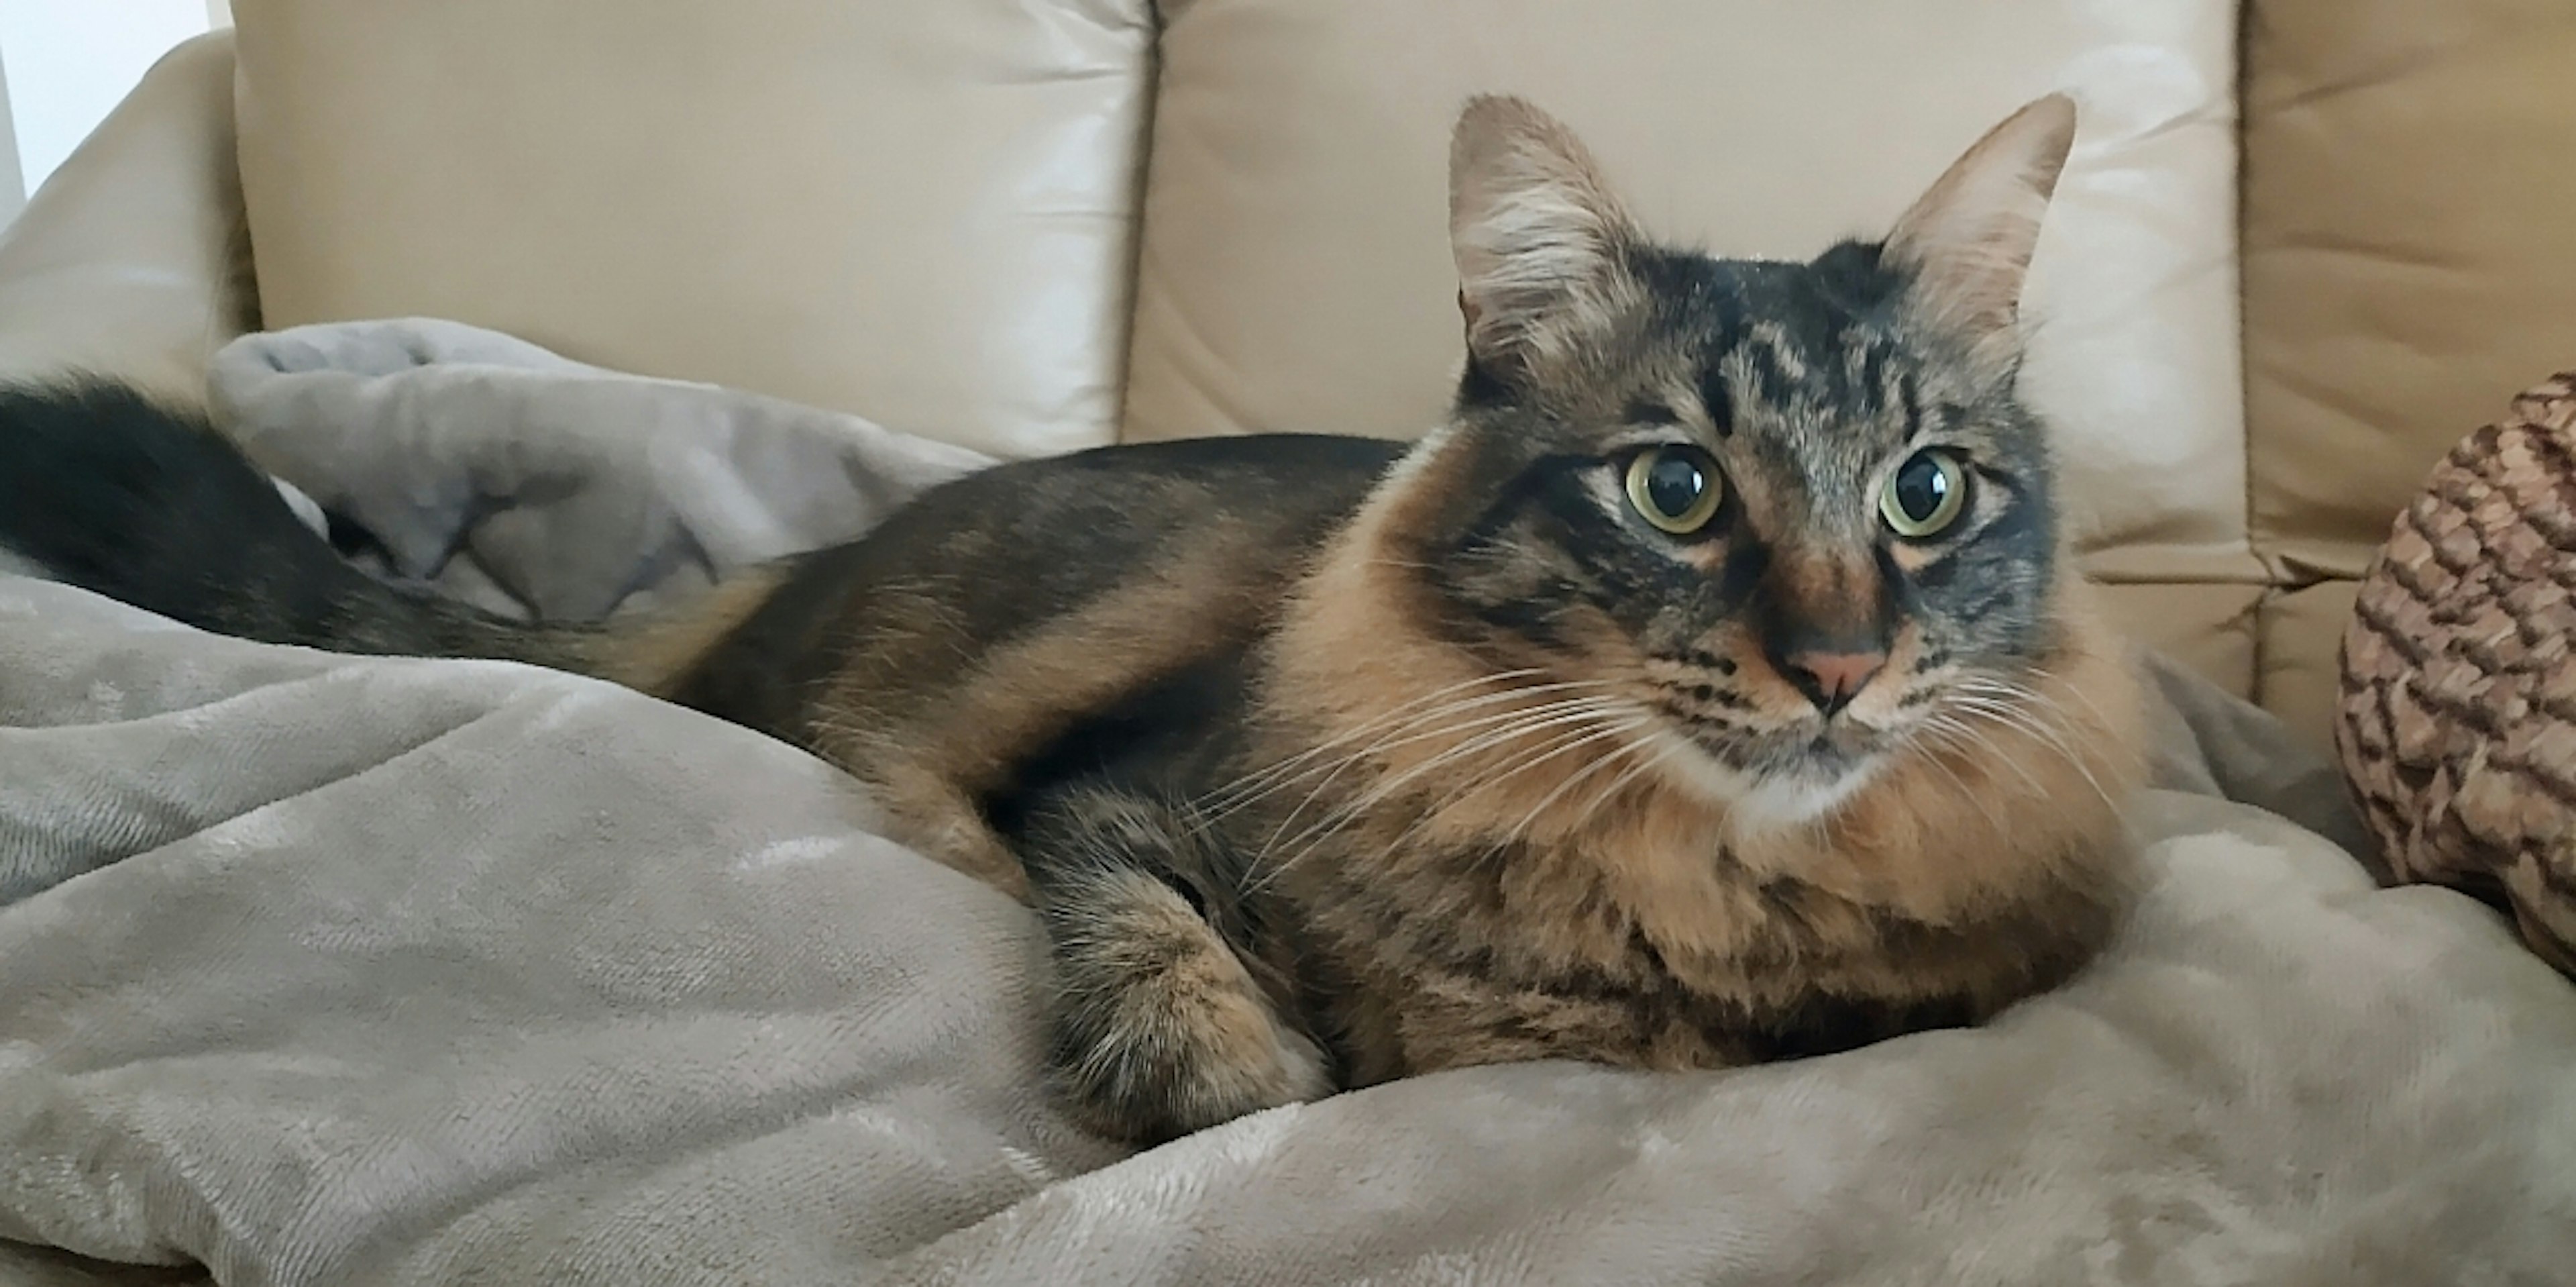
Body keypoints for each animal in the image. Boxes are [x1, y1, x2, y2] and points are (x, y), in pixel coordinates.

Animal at [0, 91, 2143, 1145]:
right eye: (1675, 491)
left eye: (1925, 494)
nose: (1841, 668)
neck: (1673, 888)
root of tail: (793, 566)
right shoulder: (1117, 796)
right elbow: (1151, 936)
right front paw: (1249, 1080)